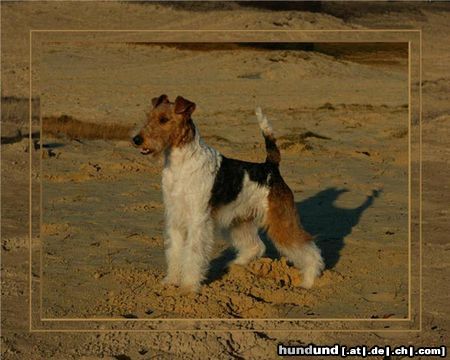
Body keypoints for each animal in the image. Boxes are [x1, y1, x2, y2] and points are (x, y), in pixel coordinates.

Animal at [132, 94, 326, 292]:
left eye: (164, 120)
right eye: (148, 116)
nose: (136, 140)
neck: (182, 162)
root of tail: (271, 167)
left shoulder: (198, 220)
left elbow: (193, 253)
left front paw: (188, 286)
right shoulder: (175, 217)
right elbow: (175, 252)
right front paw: (171, 281)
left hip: (281, 221)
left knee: (309, 249)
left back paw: (308, 281)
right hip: (239, 221)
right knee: (256, 246)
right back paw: (234, 267)